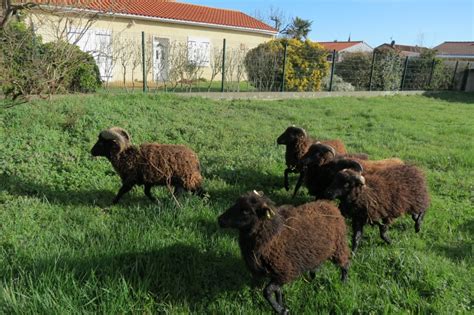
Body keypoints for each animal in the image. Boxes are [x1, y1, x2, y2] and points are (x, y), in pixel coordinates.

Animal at [218, 191, 348, 314]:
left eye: (246, 211)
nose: (220, 220)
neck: (273, 234)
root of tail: (330, 204)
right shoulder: (277, 273)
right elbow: (278, 292)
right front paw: (281, 306)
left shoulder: (284, 272)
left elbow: (267, 292)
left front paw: (280, 310)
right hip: (319, 251)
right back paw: (313, 277)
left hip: (339, 245)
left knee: (345, 264)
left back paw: (343, 282)